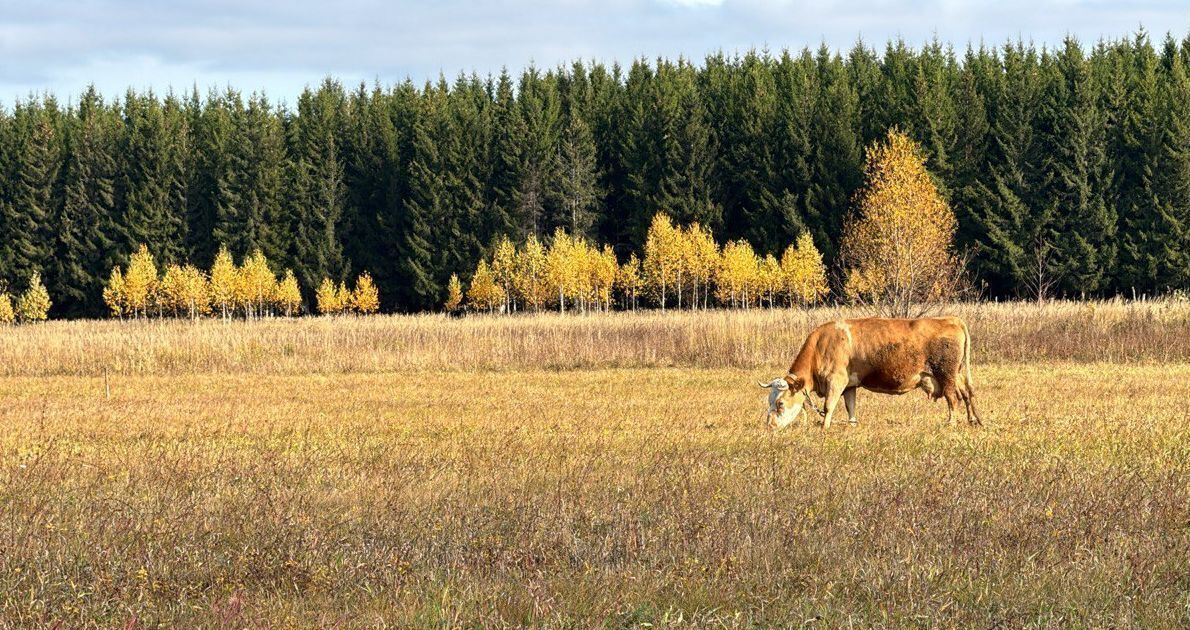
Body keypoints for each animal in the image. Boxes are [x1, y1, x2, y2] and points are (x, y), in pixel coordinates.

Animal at [756, 314, 980, 426]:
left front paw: (824, 427)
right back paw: (972, 420)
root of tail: (950, 318)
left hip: (946, 375)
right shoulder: (849, 386)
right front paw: (852, 424)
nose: (770, 425)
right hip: (957, 374)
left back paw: (951, 422)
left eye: (780, 403)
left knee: (953, 399)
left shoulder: (836, 381)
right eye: (769, 401)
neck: (821, 345)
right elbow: (850, 406)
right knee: (966, 394)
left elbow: (828, 406)